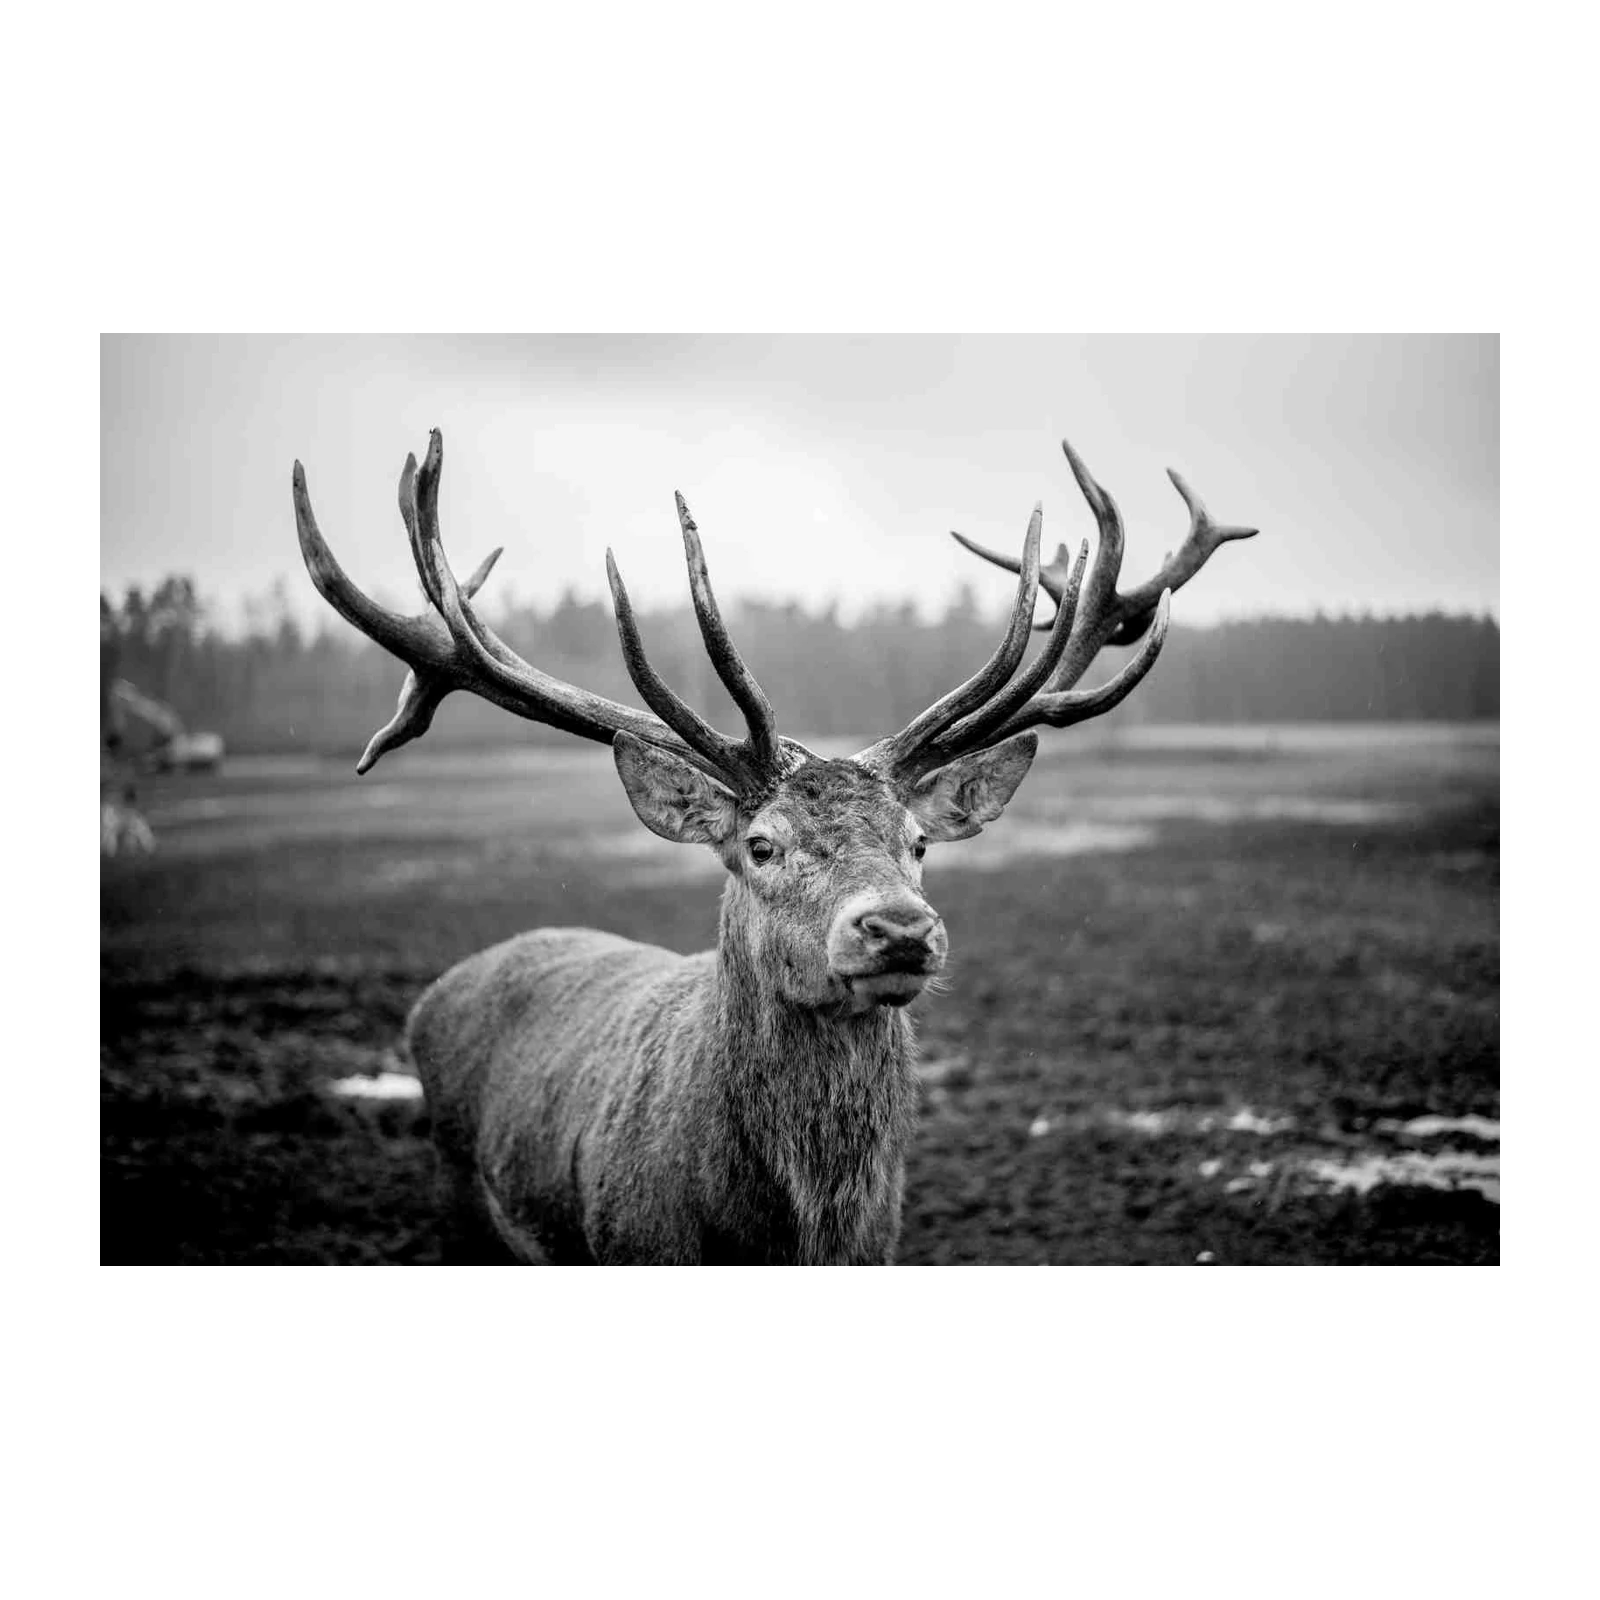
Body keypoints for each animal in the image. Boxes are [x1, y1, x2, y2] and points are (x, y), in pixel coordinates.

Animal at [292, 430, 1257, 1269]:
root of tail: (434, 996)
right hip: (458, 1199)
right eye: (761, 844)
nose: (899, 929)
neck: (786, 1241)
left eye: (917, 843)